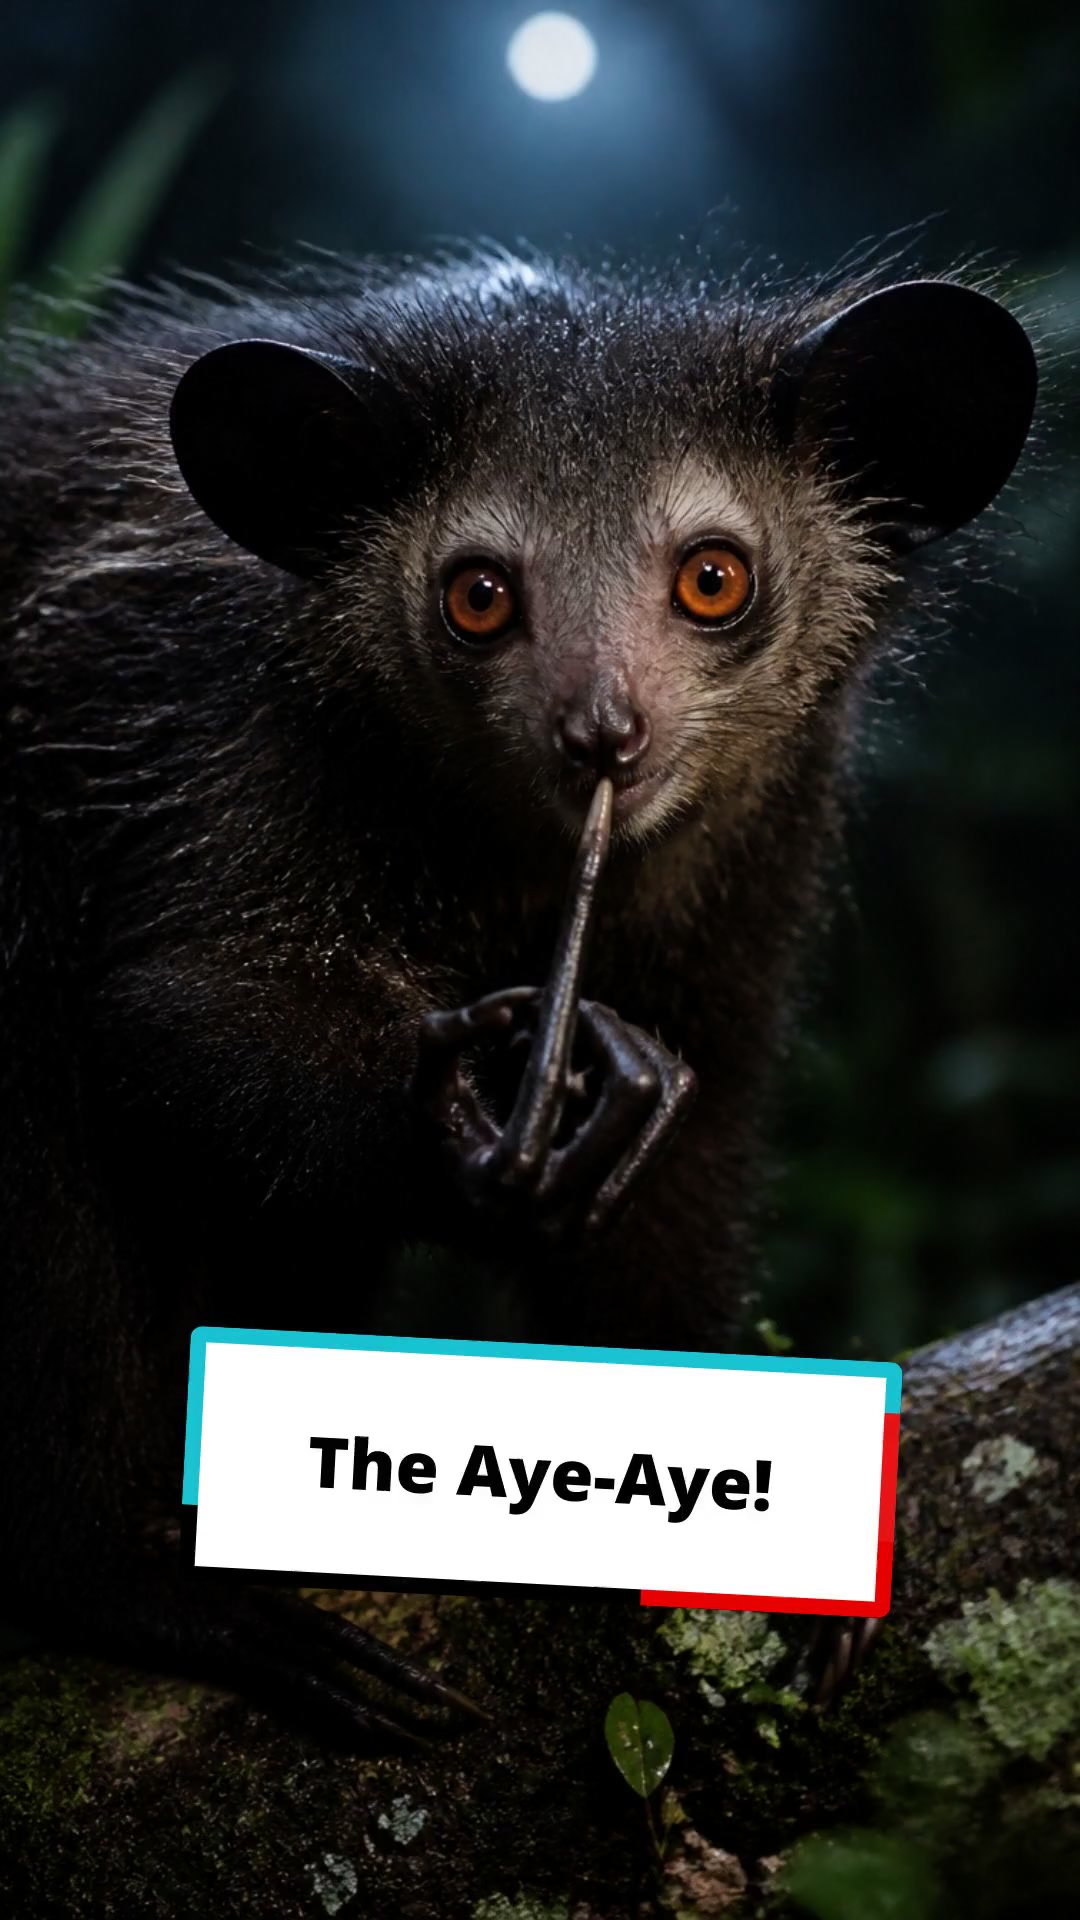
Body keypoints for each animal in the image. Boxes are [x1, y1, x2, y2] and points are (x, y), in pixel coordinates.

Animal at [0, 250, 1037, 1742]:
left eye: (714, 578)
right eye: (478, 595)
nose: (603, 736)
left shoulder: (756, 862)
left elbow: (692, 1156)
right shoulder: (197, 708)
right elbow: (179, 1012)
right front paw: (475, 1113)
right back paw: (146, 1585)